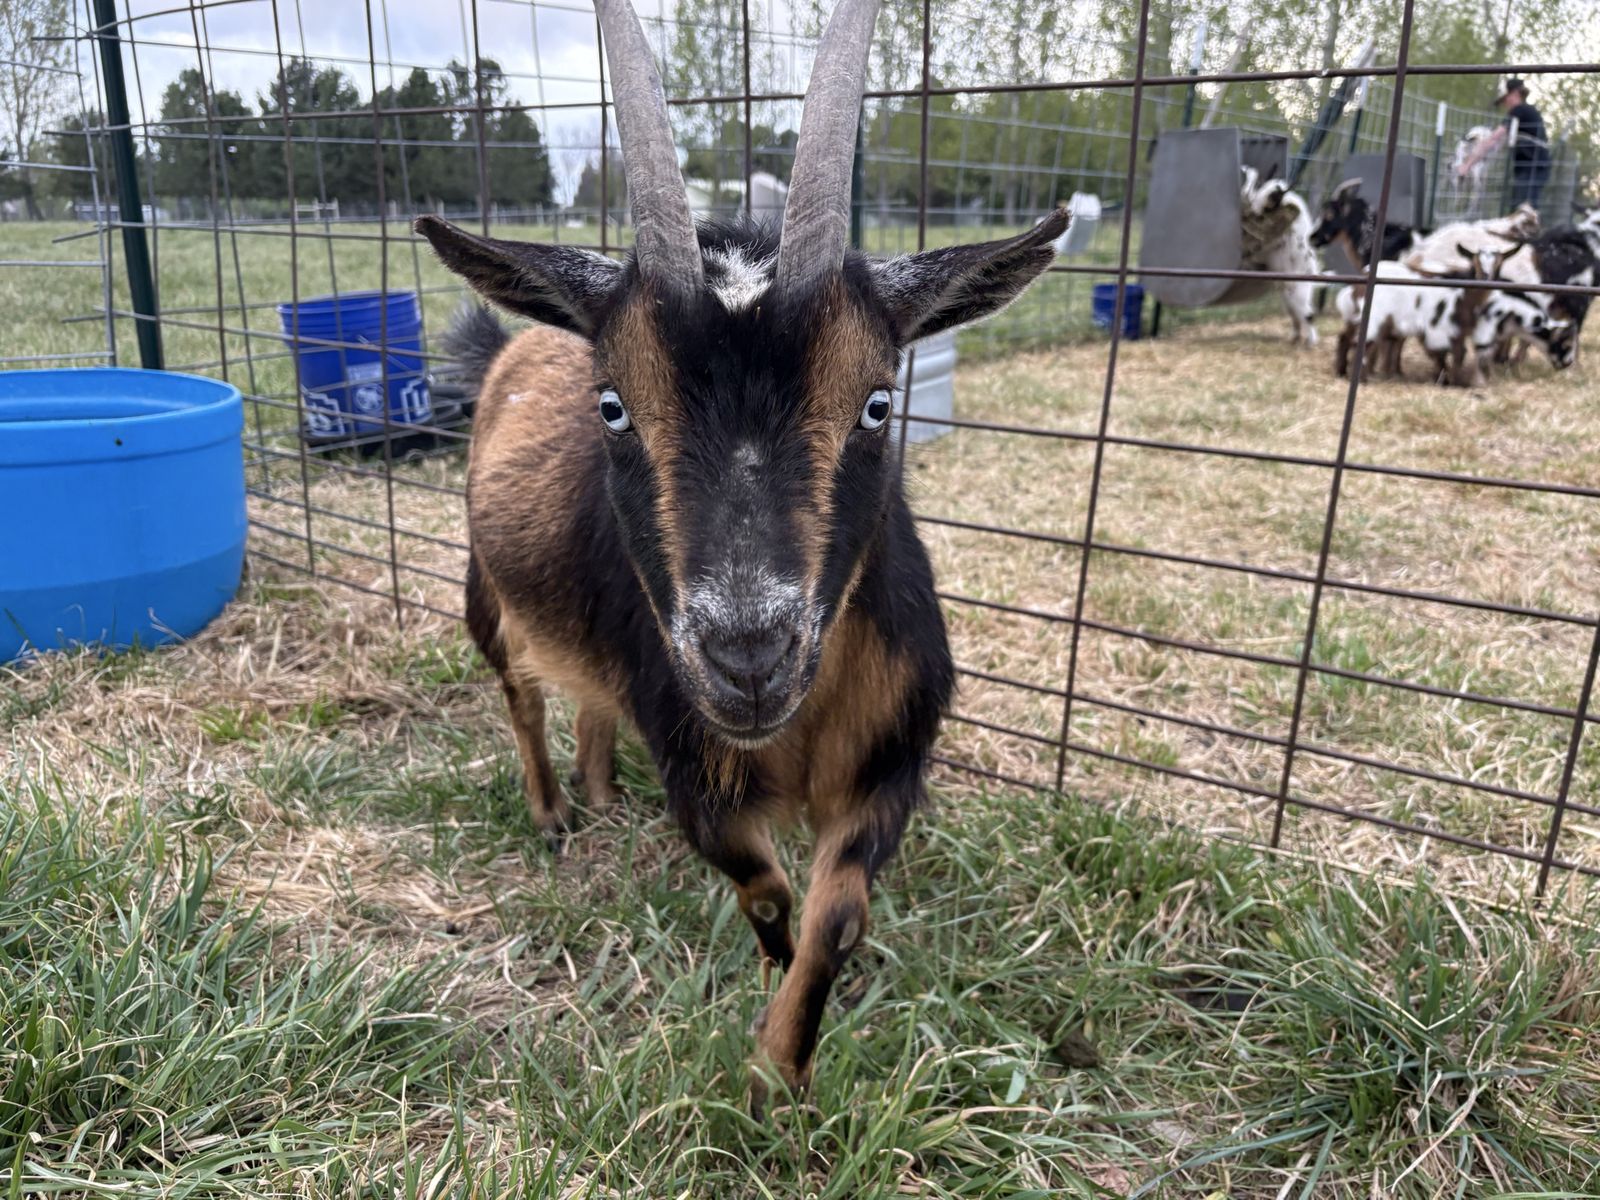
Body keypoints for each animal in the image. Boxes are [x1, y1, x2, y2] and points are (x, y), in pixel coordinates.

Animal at [413, 0, 1065, 1113]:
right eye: (613, 405)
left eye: (879, 402)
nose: (748, 659)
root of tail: (514, 345)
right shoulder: (694, 760)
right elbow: (765, 889)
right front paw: (766, 1019)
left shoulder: (890, 765)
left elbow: (837, 916)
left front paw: (782, 1071)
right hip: (484, 594)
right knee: (520, 694)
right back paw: (552, 813)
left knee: (587, 700)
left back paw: (598, 792)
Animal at [1238, 166, 1318, 346]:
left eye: (1271, 203)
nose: (1252, 212)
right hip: (1288, 298)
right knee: (1297, 317)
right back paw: (1295, 338)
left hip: (1298, 295)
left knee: (1308, 315)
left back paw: (1311, 341)